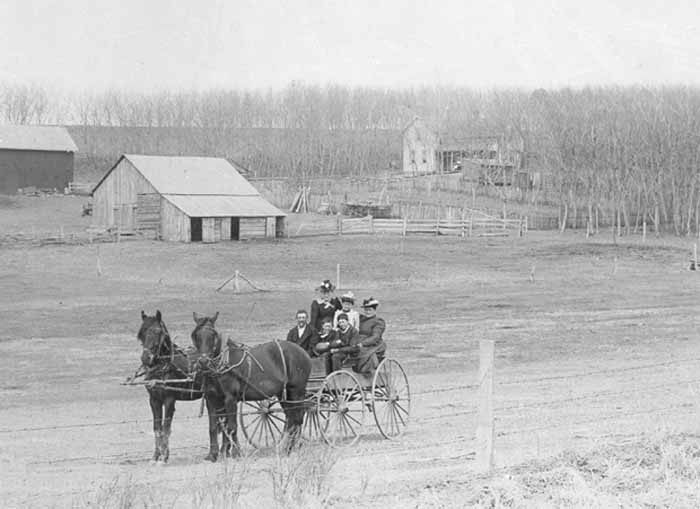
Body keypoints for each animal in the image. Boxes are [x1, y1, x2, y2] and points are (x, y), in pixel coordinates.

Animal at [135, 310, 204, 460]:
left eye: (158, 331)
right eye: (141, 333)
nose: (145, 358)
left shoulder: (169, 400)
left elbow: (166, 428)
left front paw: (164, 457)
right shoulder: (154, 400)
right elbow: (157, 428)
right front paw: (156, 456)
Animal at [191, 312, 312, 458]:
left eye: (213, 335)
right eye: (196, 335)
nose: (203, 362)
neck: (221, 366)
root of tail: (302, 351)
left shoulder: (230, 399)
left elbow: (231, 427)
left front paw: (234, 452)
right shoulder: (211, 399)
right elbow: (214, 427)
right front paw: (215, 454)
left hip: (296, 391)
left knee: (298, 417)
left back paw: (291, 447)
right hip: (283, 394)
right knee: (291, 418)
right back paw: (287, 448)